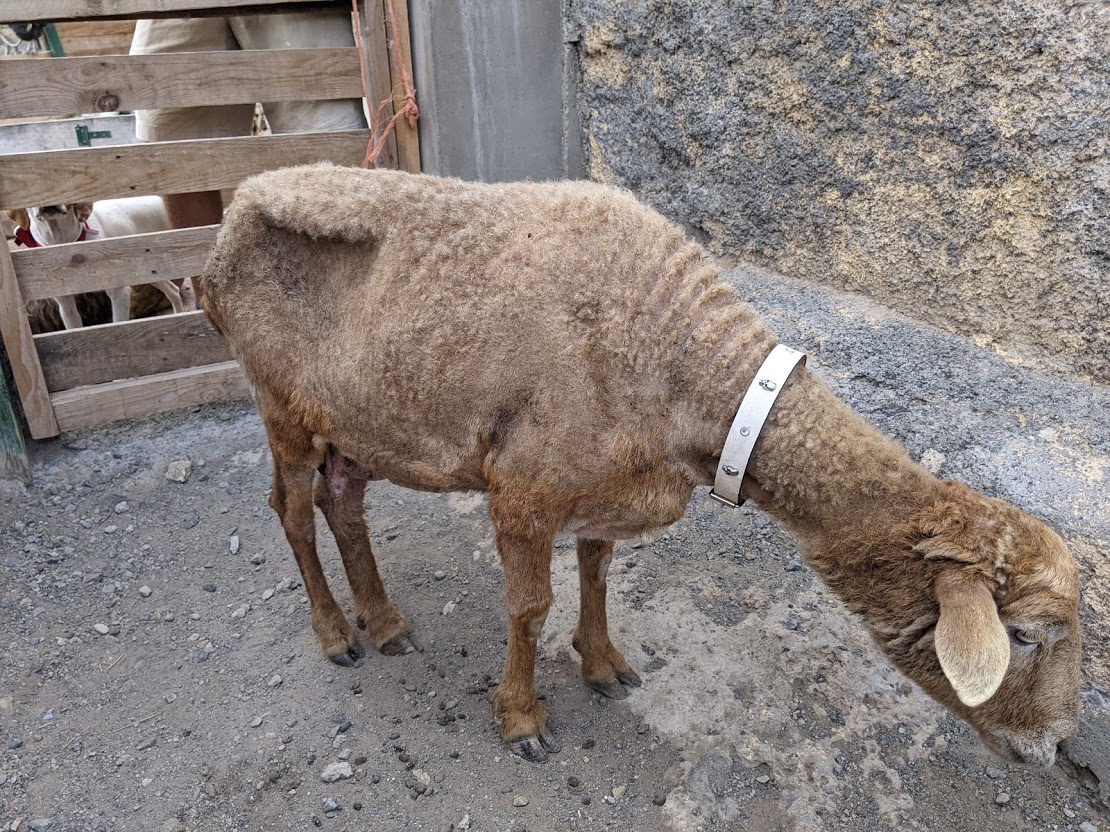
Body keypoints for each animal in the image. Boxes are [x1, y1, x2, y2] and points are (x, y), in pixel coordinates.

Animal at [199, 163, 1080, 767]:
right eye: (1025, 637)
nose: (1053, 748)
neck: (685, 369)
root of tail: (232, 214)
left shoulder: (602, 485)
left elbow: (596, 573)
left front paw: (603, 664)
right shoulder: (523, 491)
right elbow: (529, 607)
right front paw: (522, 718)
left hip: (358, 421)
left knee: (343, 501)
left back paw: (384, 623)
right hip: (280, 403)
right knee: (291, 511)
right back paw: (336, 633)